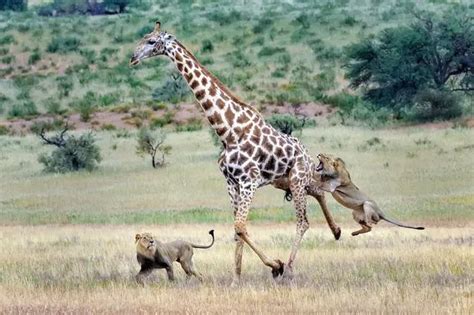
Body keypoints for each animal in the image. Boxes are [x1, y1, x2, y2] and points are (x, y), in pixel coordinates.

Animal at [131, 21, 340, 284]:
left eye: (151, 41)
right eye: (143, 37)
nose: (133, 57)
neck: (227, 131)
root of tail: (306, 153)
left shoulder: (248, 181)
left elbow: (240, 227)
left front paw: (276, 266)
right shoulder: (232, 183)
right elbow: (237, 230)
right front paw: (236, 279)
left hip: (296, 179)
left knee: (303, 221)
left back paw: (290, 268)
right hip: (285, 181)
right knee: (319, 191)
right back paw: (337, 231)